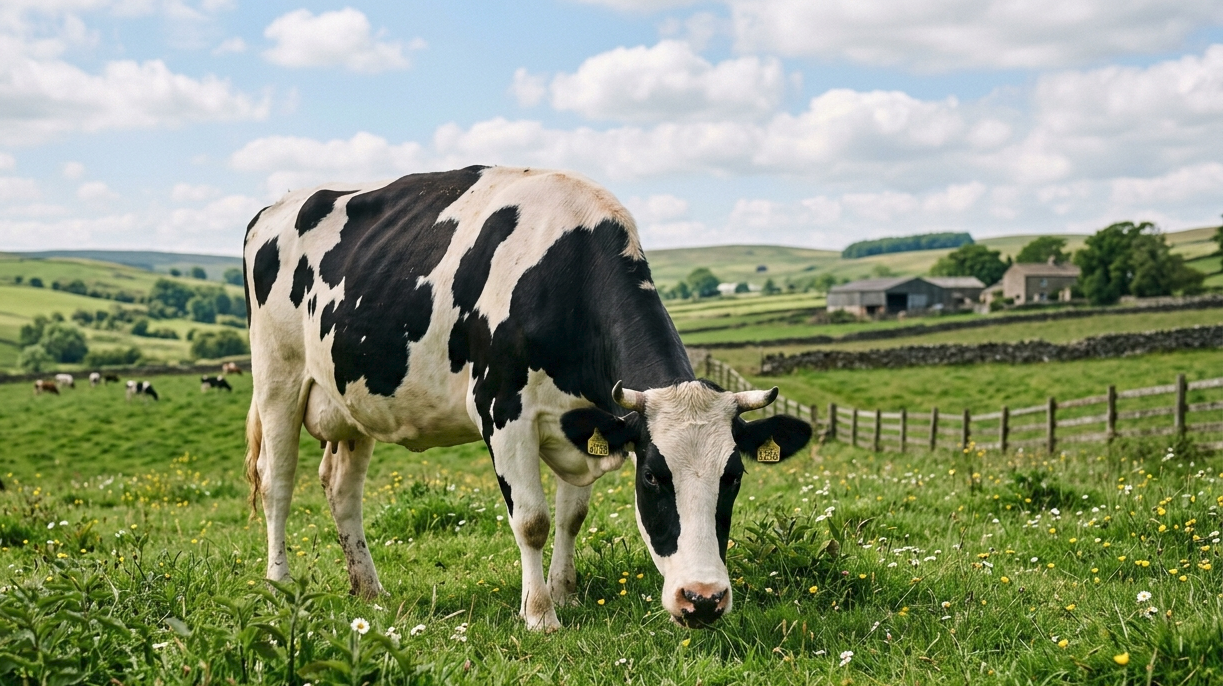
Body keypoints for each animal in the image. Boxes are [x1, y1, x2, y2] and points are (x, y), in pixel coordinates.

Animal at [243, 166, 811, 631]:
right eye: (653, 476)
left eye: (733, 476)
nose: (704, 599)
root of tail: (276, 207)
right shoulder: (503, 412)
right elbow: (533, 520)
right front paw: (540, 614)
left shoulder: (583, 420)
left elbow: (571, 516)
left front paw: (566, 593)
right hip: (276, 377)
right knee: (278, 483)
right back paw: (279, 583)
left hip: (353, 400)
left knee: (342, 489)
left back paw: (369, 589)